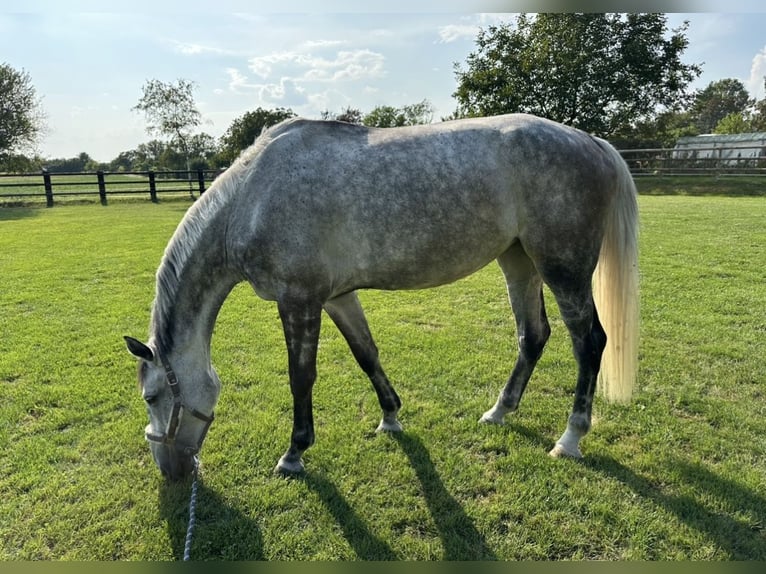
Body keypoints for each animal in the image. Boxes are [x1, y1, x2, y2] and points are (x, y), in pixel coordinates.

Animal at [127, 113, 640, 482]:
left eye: (152, 396)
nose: (171, 471)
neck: (251, 199)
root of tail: (591, 142)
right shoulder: (337, 297)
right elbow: (366, 353)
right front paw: (390, 416)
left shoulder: (299, 300)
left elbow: (301, 377)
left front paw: (294, 453)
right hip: (518, 260)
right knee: (532, 336)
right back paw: (499, 412)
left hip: (563, 267)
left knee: (589, 341)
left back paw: (570, 439)